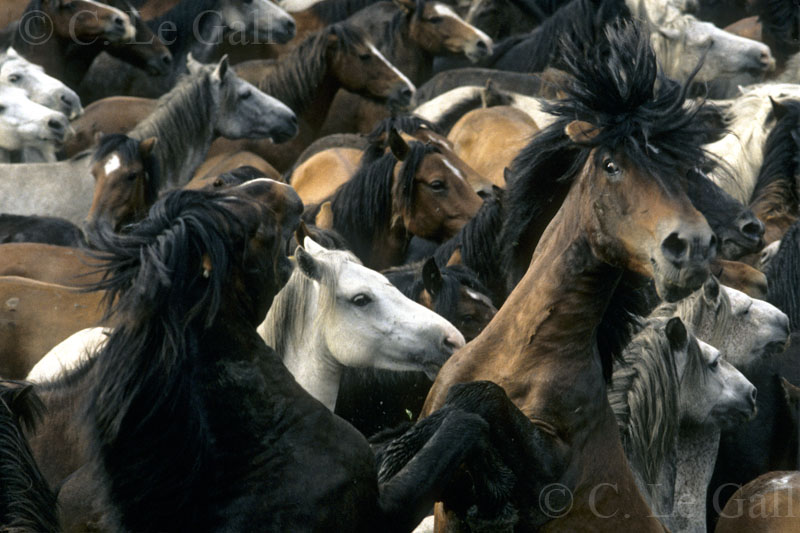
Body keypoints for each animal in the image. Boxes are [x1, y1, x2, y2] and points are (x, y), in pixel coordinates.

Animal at [422, 21, 717, 531]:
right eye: (611, 165)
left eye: (683, 171)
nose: (692, 247)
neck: (524, 353)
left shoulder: (550, 474)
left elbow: (484, 399)